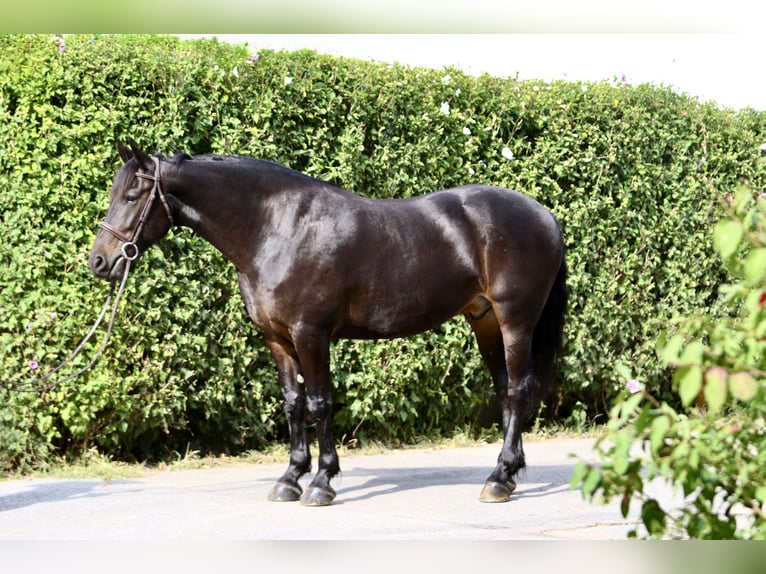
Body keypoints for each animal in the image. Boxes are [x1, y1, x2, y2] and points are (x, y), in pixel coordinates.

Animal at [89, 140, 568, 506]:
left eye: (131, 196)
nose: (99, 262)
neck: (276, 228)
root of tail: (544, 215)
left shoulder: (311, 335)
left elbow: (319, 402)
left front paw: (321, 482)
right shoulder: (277, 339)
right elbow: (292, 404)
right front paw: (289, 478)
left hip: (515, 321)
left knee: (519, 389)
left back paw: (500, 479)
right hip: (484, 322)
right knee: (505, 391)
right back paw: (506, 473)